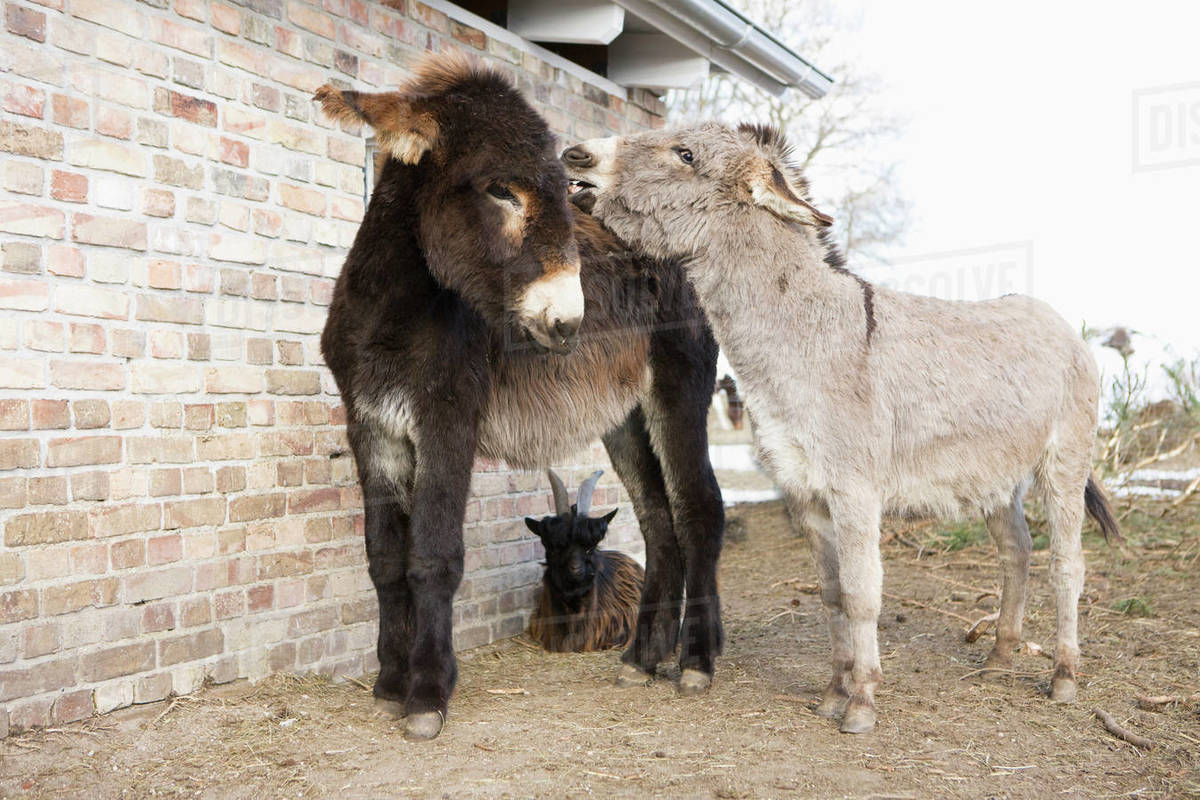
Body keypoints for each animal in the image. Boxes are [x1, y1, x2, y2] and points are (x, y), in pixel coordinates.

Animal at [563, 122, 1119, 734]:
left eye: (685, 154)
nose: (575, 154)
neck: (810, 338)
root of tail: (1058, 321)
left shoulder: (855, 492)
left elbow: (861, 594)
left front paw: (862, 703)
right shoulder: (805, 493)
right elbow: (831, 594)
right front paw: (833, 691)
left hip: (1063, 465)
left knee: (1067, 565)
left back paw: (1064, 677)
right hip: (997, 478)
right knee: (1017, 550)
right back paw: (999, 657)